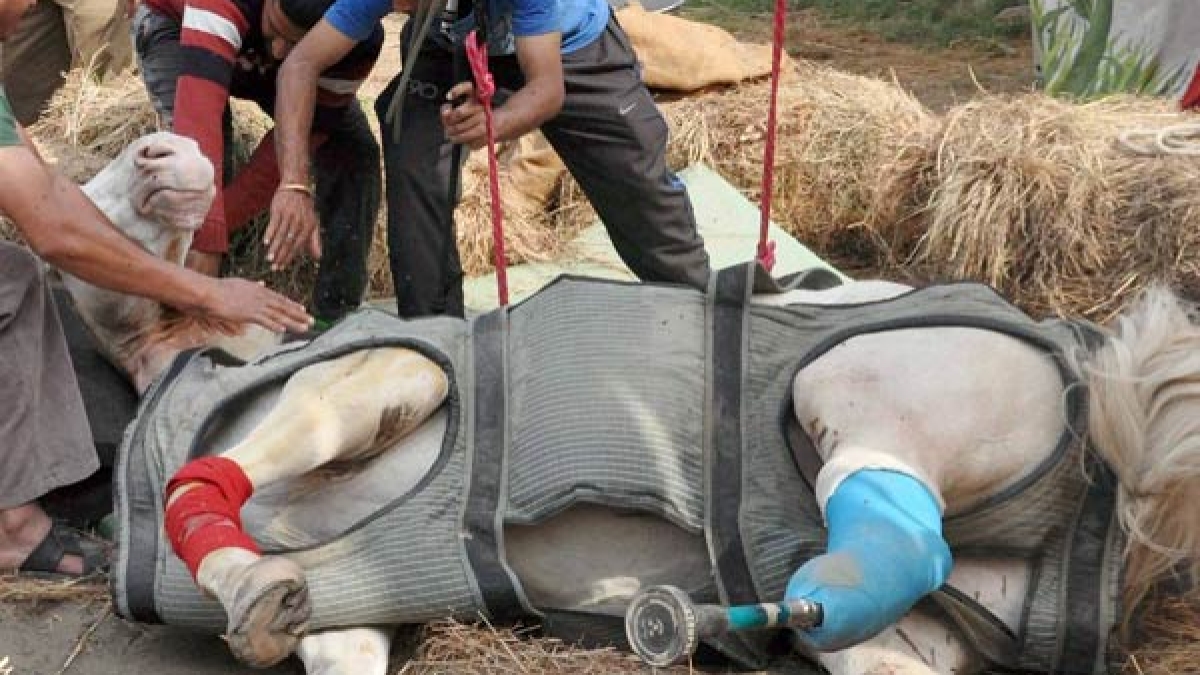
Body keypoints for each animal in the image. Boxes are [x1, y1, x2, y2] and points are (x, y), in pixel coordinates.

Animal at [66, 132, 1198, 675]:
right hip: (917, 628)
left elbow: (214, 478)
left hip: (860, 393)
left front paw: (244, 581)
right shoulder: (359, 609)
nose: (168, 150)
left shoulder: (368, 374)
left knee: (876, 514)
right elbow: (322, 629)